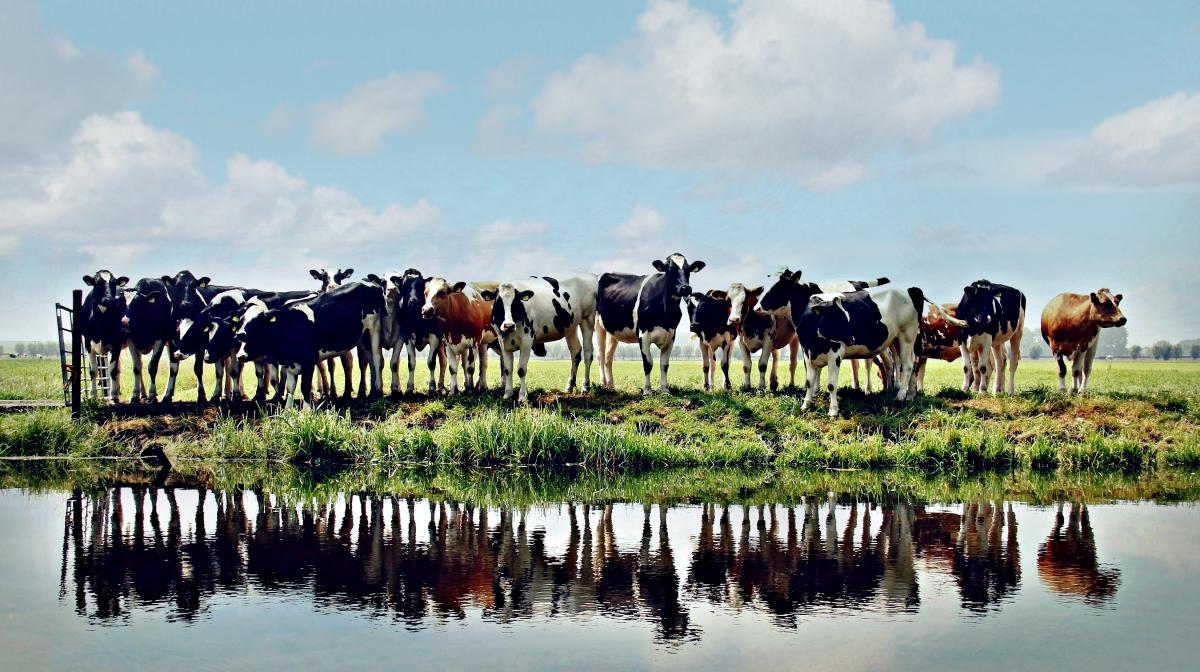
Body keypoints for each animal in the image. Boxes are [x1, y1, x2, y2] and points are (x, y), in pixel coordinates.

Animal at [79, 270, 129, 403]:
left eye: (114, 283)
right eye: (96, 283)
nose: (109, 299)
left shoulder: (116, 343)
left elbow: (112, 370)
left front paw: (114, 395)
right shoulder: (88, 343)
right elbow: (93, 370)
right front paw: (92, 395)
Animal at [235, 281, 385, 406]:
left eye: (257, 322)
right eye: (241, 320)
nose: (239, 334)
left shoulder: (308, 361)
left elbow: (304, 387)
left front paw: (305, 414)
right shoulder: (290, 363)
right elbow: (290, 388)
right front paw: (288, 411)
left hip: (374, 327)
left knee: (377, 358)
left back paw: (378, 390)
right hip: (363, 336)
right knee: (369, 359)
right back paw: (371, 391)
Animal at [478, 274, 599, 403]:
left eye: (516, 303)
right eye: (498, 303)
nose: (508, 325)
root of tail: (589, 275)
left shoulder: (527, 341)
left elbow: (521, 370)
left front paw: (522, 397)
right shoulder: (503, 342)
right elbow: (507, 369)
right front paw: (507, 394)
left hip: (588, 318)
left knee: (588, 353)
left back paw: (585, 386)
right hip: (571, 327)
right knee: (575, 352)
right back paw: (569, 386)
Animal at [595, 254, 703, 395]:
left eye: (688, 270)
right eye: (670, 270)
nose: (685, 288)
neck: (665, 309)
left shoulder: (671, 335)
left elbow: (664, 364)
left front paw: (665, 390)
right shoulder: (643, 334)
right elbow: (648, 363)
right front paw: (647, 390)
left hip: (613, 331)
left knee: (608, 357)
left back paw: (611, 386)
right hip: (597, 325)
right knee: (600, 356)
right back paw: (603, 384)